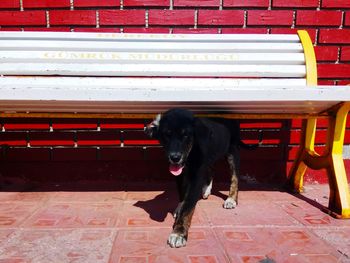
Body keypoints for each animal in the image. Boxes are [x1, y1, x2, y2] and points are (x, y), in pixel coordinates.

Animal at [144, 108, 260, 249]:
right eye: (167, 135)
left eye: (186, 135)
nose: (175, 157)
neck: (192, 153)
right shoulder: (181, 175)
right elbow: (183, 195)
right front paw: (180, 207)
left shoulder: (196, 178)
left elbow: (188, 206)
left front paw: (179, 233)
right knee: (211, 168)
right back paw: (207, 189)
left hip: (233, 150)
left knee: (234, 177)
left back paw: (231, 199)